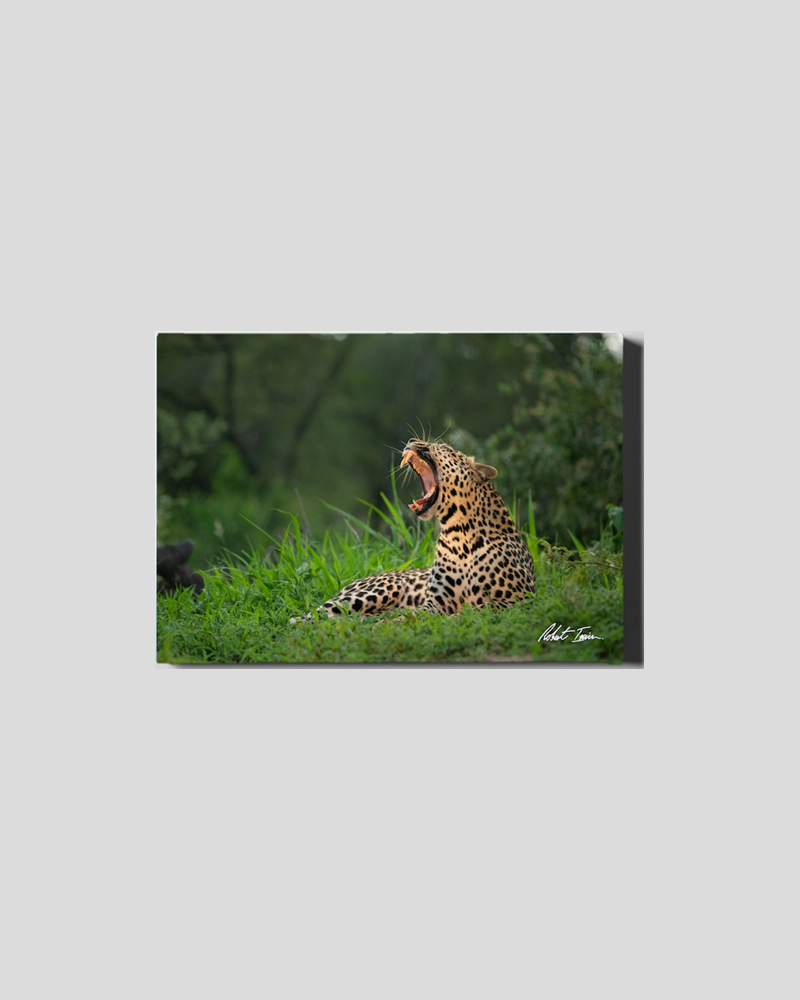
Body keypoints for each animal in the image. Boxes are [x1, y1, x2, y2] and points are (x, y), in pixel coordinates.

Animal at [308, 437, 535, 618]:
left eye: (446, 448)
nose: (411, 440)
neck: (459, 535)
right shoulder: (436, 602)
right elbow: (413, 615)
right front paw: (390, 622)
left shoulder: (517, 599)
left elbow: (476, 609)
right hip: (373, 591)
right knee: (308, 617)